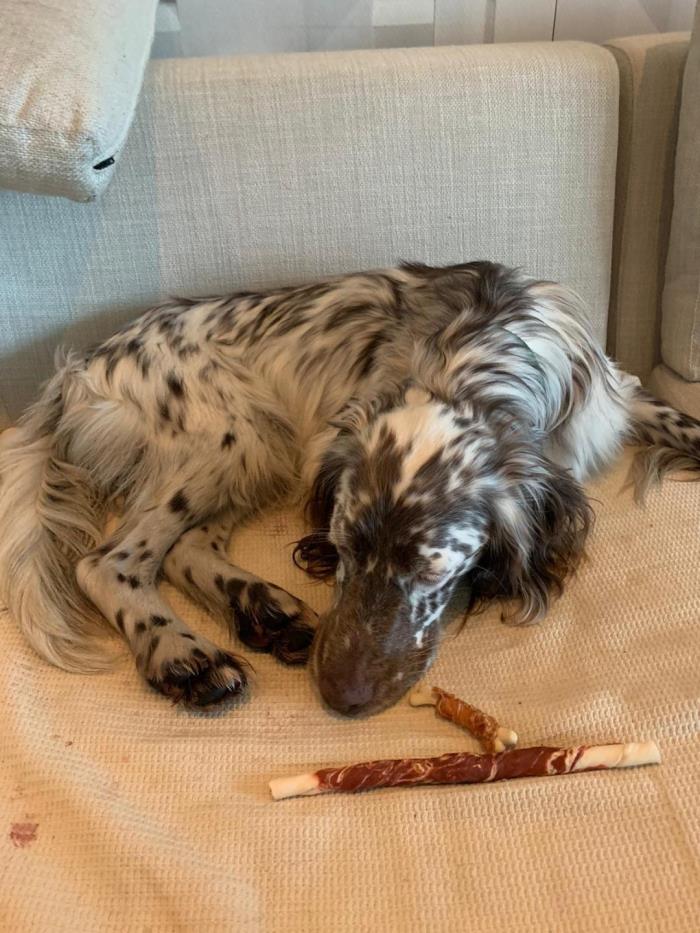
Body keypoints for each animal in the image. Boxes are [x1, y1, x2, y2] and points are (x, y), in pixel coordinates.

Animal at [1, 261, 698, 715]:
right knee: (110, 560)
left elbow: (681, 421)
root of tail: (79, 370)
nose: (340, 698)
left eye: (431, 570)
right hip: (229, 437)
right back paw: (184, 655)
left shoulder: (610, 401)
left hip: (253, 453)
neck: (473, 353)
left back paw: (263, 608)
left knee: (184, 548)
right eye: (342, 548)